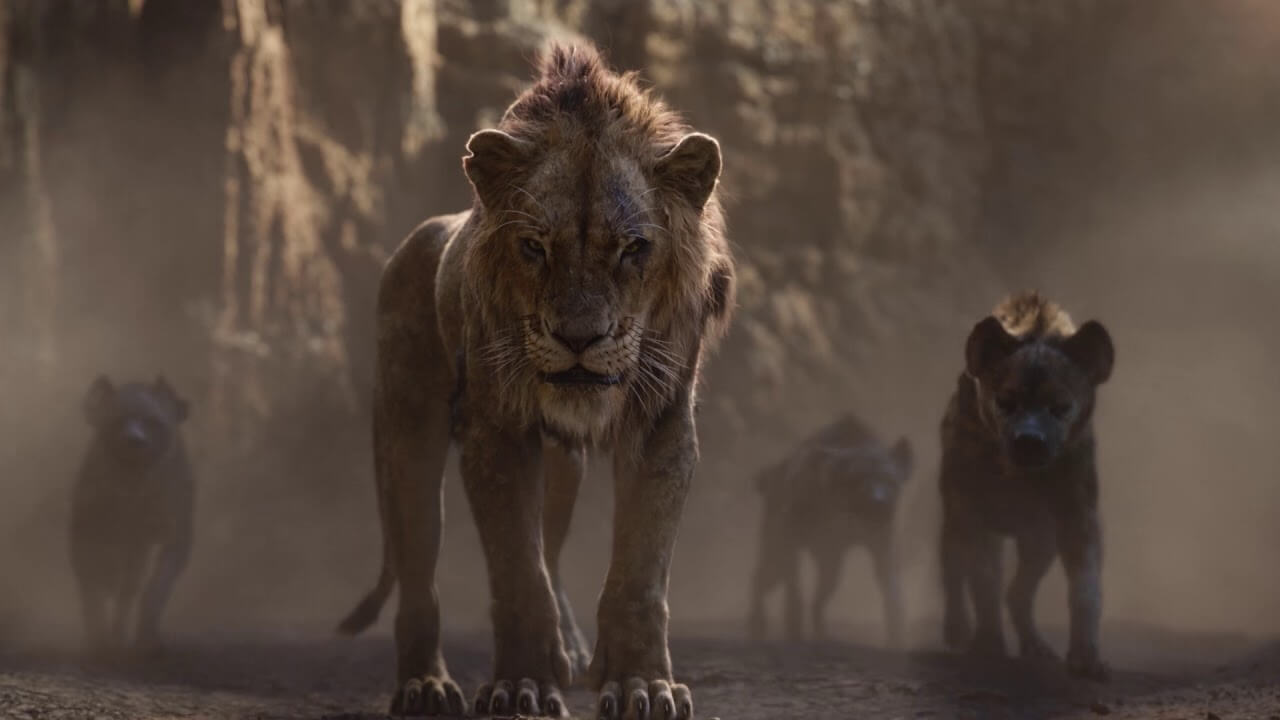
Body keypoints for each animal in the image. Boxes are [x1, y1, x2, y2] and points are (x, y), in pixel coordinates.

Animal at [338, 43, 735, 719]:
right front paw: (521, 686)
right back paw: (424, 686)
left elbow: (638, 573)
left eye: (633, 248)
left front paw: (640, 685)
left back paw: (569, 648)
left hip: (562, 466)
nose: (579, 338)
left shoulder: (662, 423)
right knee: (419, 571)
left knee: (549, 545)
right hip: (407, 432)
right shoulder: (496, 431)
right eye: (534, 247)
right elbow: (518, 572)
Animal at [939, 291, 1114, 681]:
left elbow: (1086, 588)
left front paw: (1086, 657)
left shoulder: (1077, 514)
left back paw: (1035, 646)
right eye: (1006, 402)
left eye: (1060, 406)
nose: (1030, 441)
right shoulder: (971, 511)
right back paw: (957, 632)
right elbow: (982, 581)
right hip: (956, 523)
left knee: (1018, 592)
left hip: (1039, 540)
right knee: (955, 573)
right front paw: (988, 646)